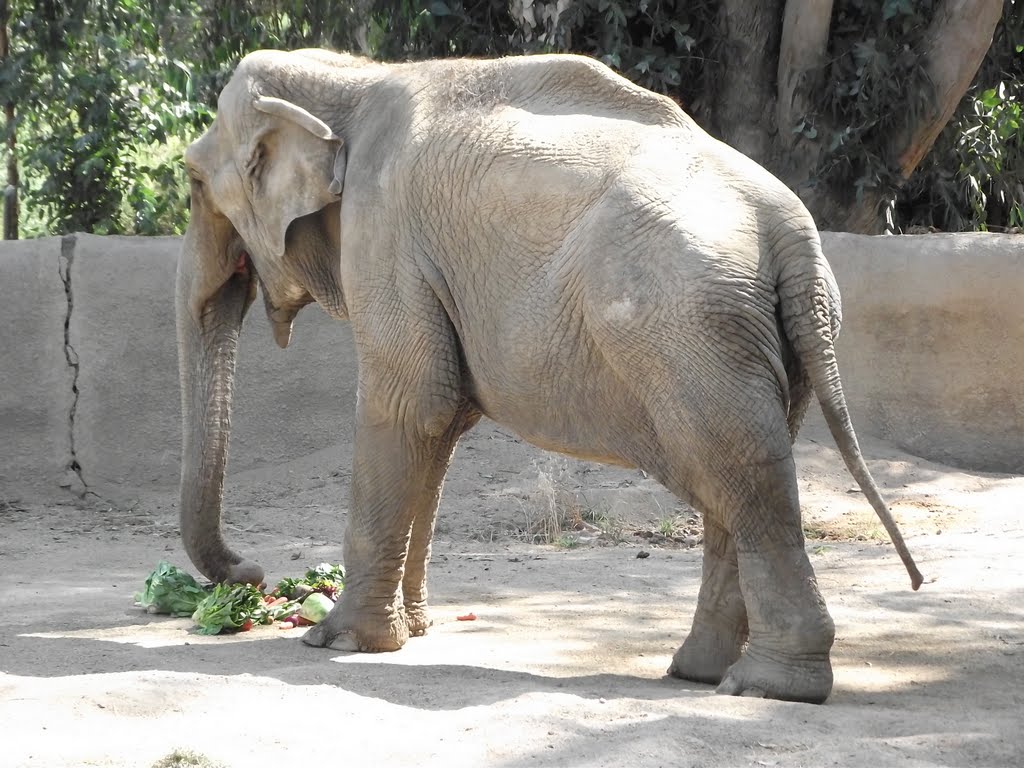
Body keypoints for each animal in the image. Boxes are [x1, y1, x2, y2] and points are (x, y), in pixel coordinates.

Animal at [176, 48, 921, 708]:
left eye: (192, 183)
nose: (252, 573)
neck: (347, 76)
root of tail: (792, 233)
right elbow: (440, 424)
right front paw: (412, 630)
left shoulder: (384, 230)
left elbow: (409, 405)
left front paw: (338, 642)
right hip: (752, 333)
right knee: (740, 473)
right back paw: (698, 672)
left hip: (689, 325)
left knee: (738, 472)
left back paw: (766, 687)